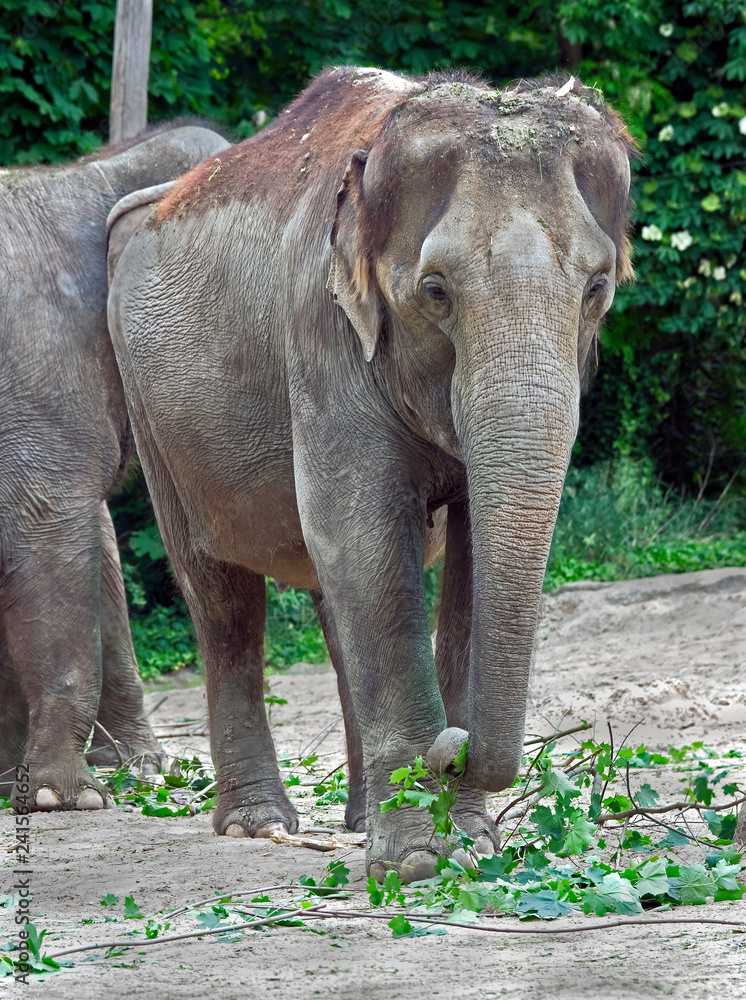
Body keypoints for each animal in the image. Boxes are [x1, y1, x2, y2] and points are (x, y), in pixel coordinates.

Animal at [107, 68, 633, 878]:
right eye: (436, 289)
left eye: (598, 288)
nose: (453, 749)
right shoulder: (321, 331)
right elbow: (363, 535)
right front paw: (417, 861)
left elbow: (465, 558)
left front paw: (471, 845)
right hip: (153, 412)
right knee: (220, 594)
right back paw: (259, 825)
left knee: (327, 603)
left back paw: (356, 820)